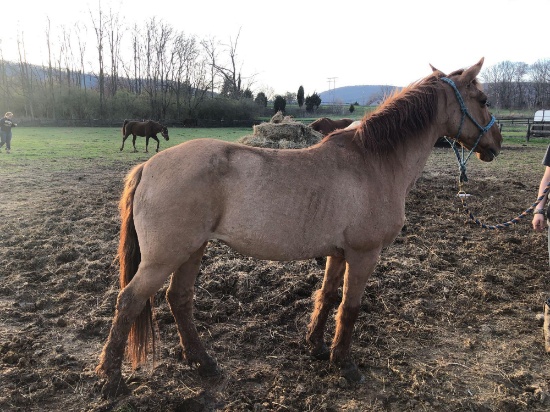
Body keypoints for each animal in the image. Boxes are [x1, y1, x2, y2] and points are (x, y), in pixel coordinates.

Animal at [96, 58, 504, 396]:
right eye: (483, 98)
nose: (496, 143)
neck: (373, 161)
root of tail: (148, 166)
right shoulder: (364, 254)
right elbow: (350, 307)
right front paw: (345, 365)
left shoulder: (338, 254)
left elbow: (327, 297)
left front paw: (318, 347)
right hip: (166, 256)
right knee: (129, 301)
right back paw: (112, 380)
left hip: (192, 250)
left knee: (179, 300)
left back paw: (204, 363)